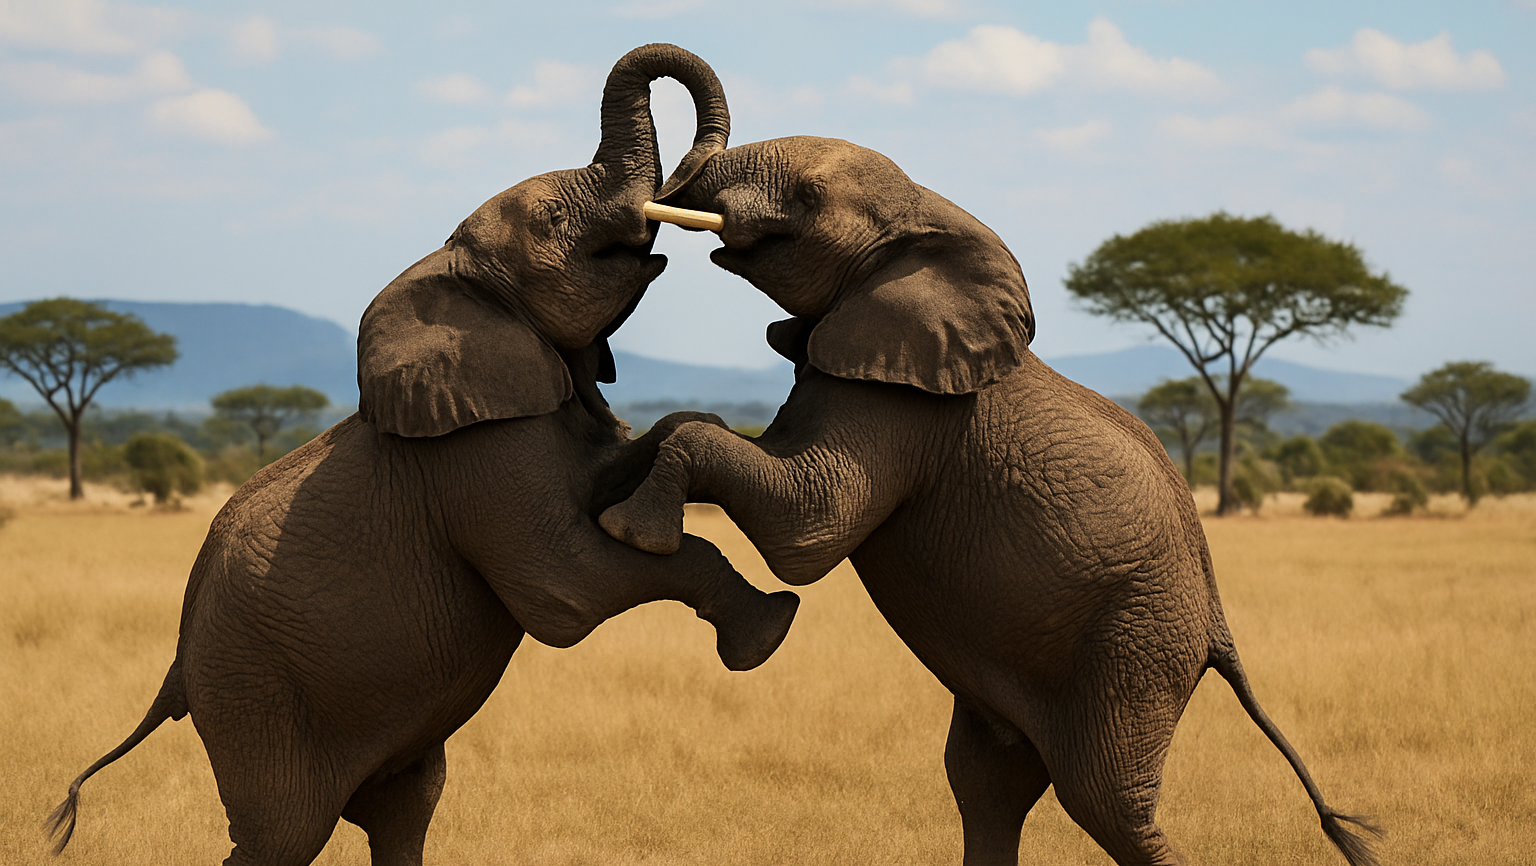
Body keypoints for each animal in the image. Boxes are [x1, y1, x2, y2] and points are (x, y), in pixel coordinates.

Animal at [47, 44, 798, 866]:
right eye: (553, 220)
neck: (447, 269)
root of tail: (177, 668)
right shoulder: (470, 456)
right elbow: (568, 590)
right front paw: (770, 633)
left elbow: (618, 477)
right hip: (253, 698)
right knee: (283, 832)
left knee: (407, 807)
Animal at [602, 135, 1379, 866]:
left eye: (811, 195)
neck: (927, 210)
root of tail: (1218, 628)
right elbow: (714, 437)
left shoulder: (907, 406)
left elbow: (808, 529)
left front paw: (627, 530)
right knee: (986, 784)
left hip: (1136, 648)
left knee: (1106, 805)